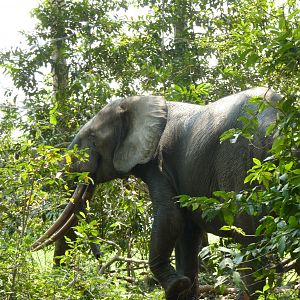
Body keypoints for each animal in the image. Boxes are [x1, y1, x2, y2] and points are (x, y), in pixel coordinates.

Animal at [32, 86, 282, 300]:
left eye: (93, 139)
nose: (100, 259)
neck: (138, 102)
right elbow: (187, 231)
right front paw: (181, 287)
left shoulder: (160, 164)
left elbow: (170, 217)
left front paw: (175, 286)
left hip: (240, 166)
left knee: (250, 243)